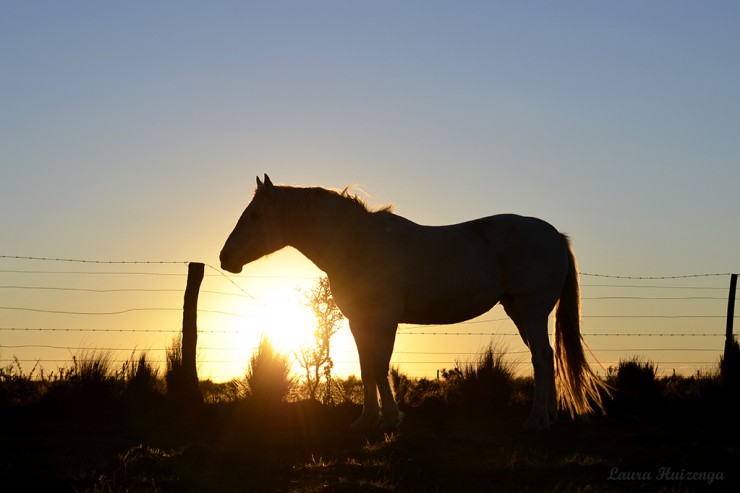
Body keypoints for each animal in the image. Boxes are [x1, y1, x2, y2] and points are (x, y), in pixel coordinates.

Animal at [220, 175, 608, 428]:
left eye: (255, 215)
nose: (226, 258)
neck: (357, 245)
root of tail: (555, 234)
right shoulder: (359, 322)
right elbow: (366, 368)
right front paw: (366, 421)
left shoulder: (385, 319)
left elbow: (379, 367)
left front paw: (392, 420)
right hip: (518, 310)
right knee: (548, 356)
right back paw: (551, 416)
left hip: (531, 309)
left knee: (541, 358)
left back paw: (536, 420)